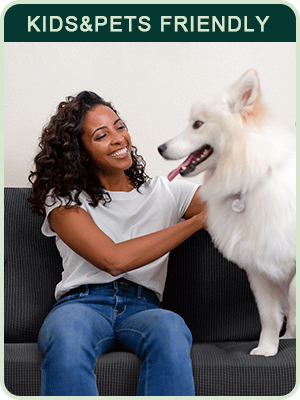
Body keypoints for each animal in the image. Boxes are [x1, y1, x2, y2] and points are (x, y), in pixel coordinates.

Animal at [158, 69, 296, 356]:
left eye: (197, 124)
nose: (160, 148)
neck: (250, 181)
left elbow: (294, 293)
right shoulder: (258, 268)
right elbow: (269, 316)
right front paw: (266, 350)